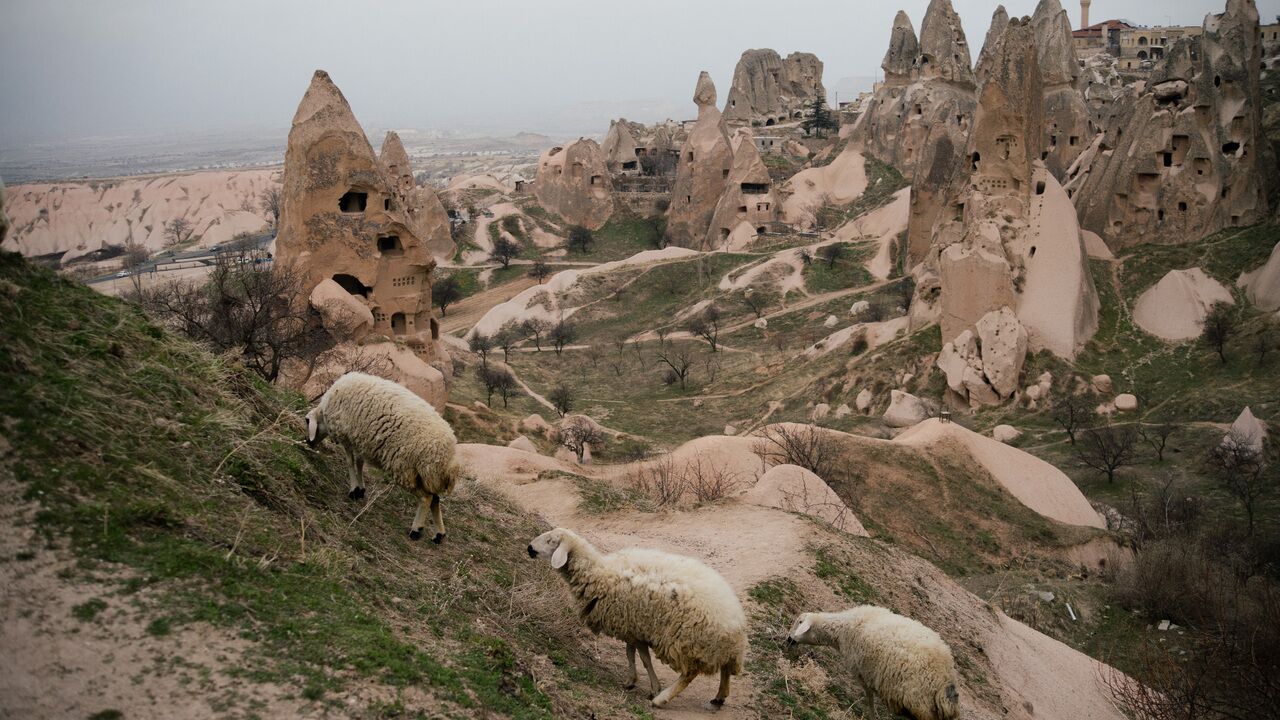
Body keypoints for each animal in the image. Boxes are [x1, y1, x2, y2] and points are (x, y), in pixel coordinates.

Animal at [527, 527, 747, 707]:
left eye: (551, 541)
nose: (529, 548)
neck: (597, 572)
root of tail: (735, 625)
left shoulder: (635, 628)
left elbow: (644, 659)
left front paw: (653, 688)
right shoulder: (631, 627)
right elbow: (630, 654)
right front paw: (631, 681)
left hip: (684, 642)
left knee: (689, 674)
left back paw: (662, 699)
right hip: (714, 648)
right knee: (726, 668)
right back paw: (720, 696)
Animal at [778, 604, 962, 717]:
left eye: (799, 622)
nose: (788, 640)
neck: (842, 630)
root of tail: (945, 679)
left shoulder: (863, 673)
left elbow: (869, 698)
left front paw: (873, 715)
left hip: (919, 703)